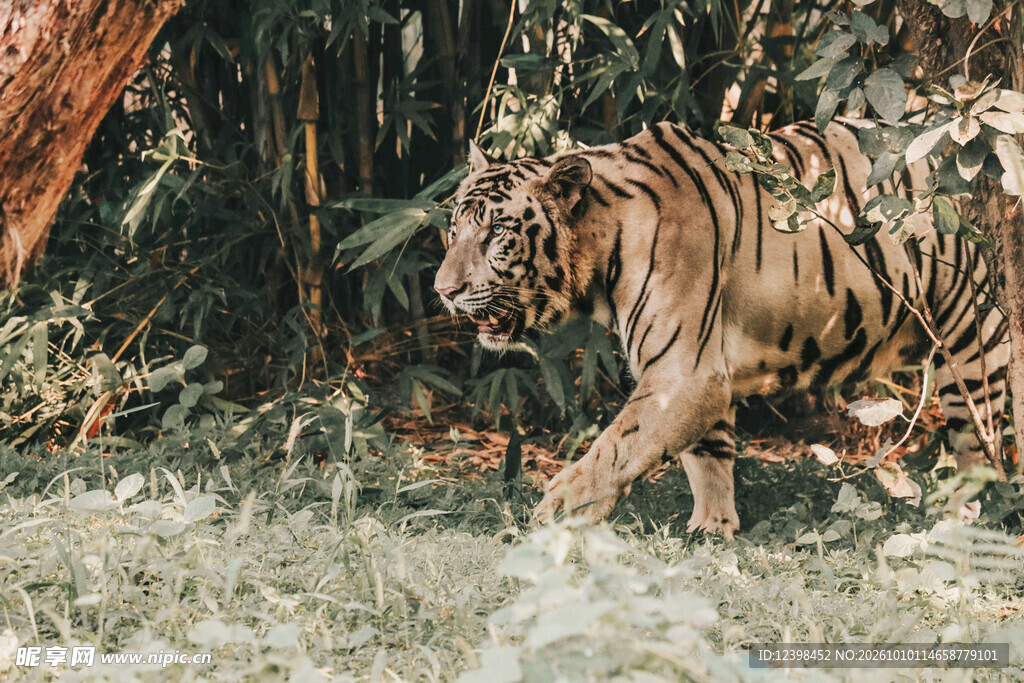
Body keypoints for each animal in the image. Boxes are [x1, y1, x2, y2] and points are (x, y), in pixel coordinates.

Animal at [433, 119, 1010, 538]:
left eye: (498, 233)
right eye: (454, 229)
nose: (443, 290)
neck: (600, 251)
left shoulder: (683, 374)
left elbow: (616, 447)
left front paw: (557, 511)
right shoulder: (700, 367)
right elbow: (707, 454)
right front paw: (713, 527)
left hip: (972, 342)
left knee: (980, 448)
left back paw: (964, 520)